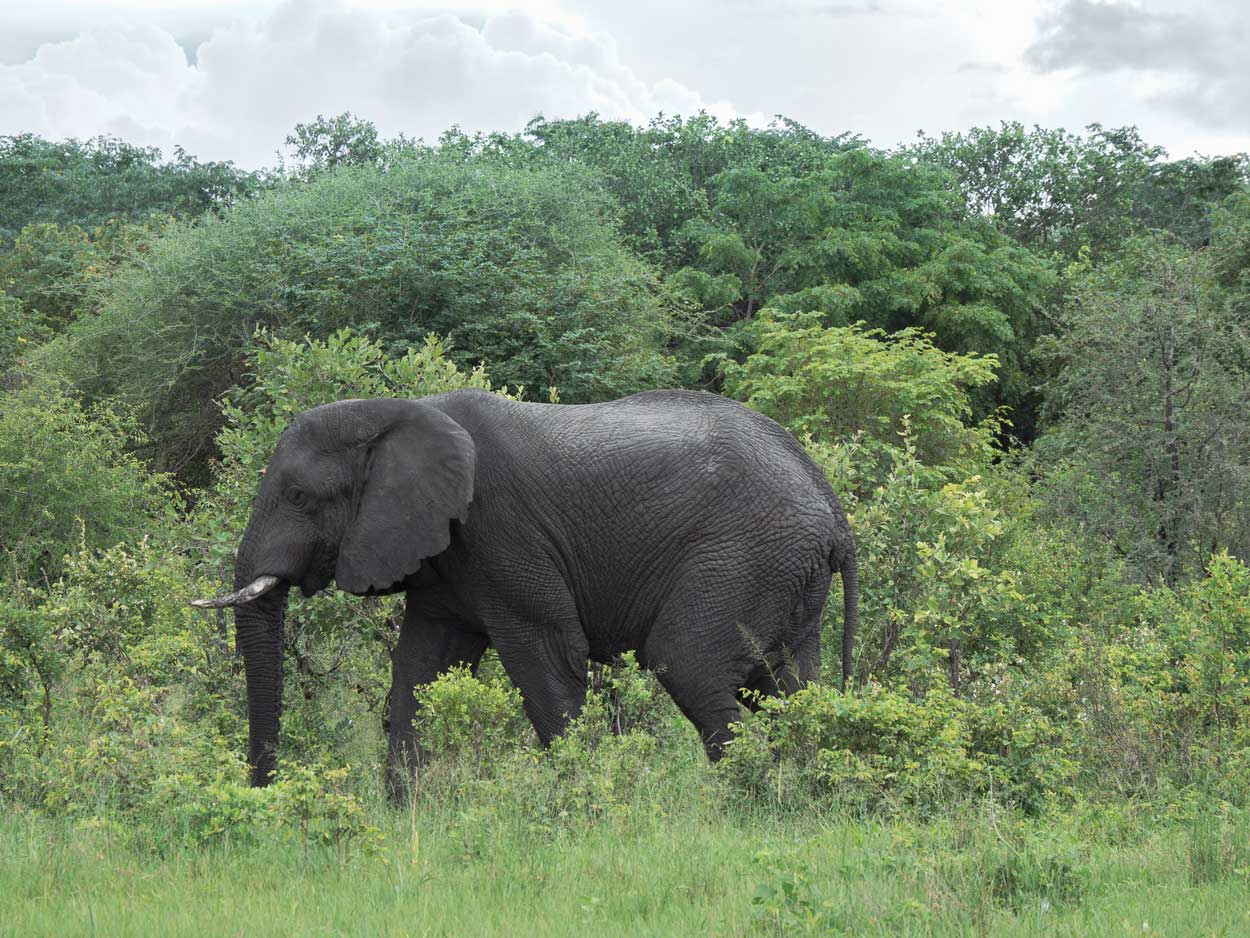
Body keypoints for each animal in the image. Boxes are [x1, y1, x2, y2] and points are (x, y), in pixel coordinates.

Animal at [192, 389, 858, 795]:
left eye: (299, 496)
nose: (265, 792)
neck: (400, 412)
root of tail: (830, 502)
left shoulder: (503, 533)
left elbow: (546, 658)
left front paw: (583, 802)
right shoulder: (444, 554)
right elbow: (422, 667)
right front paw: (408, 814)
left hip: (745, 553)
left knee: (689, 663)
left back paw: (740, 803)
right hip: (784, 571)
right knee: (789, 684)